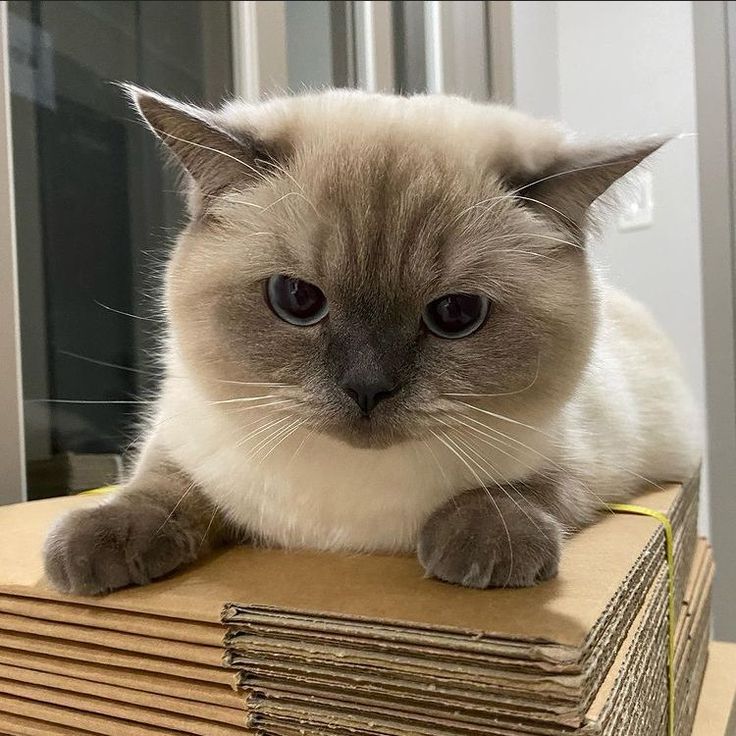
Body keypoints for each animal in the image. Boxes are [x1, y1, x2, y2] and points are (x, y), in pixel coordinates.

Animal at [43, 86, 700, 596]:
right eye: (296, 299)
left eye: (456, 314)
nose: (367, 388)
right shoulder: (183, 434)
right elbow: (158, 486)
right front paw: (97, 544)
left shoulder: (585, 450)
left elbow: (533, 487)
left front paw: (481, 547)